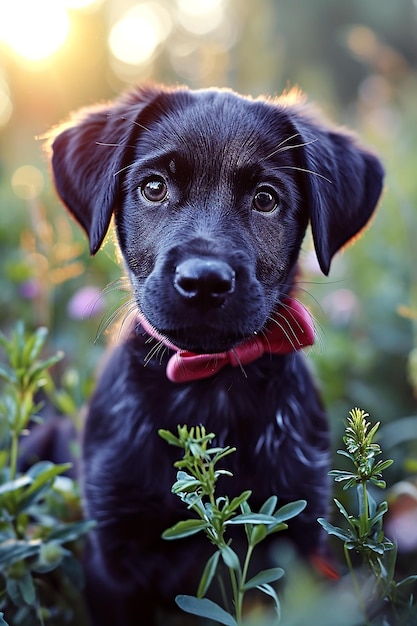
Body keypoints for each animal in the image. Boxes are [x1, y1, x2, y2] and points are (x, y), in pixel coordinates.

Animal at [51, 84, 384, 624]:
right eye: (154, 188)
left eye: (265, 199)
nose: (203, 281)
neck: (210, 388)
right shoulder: (111, 556)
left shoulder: (293, 541)